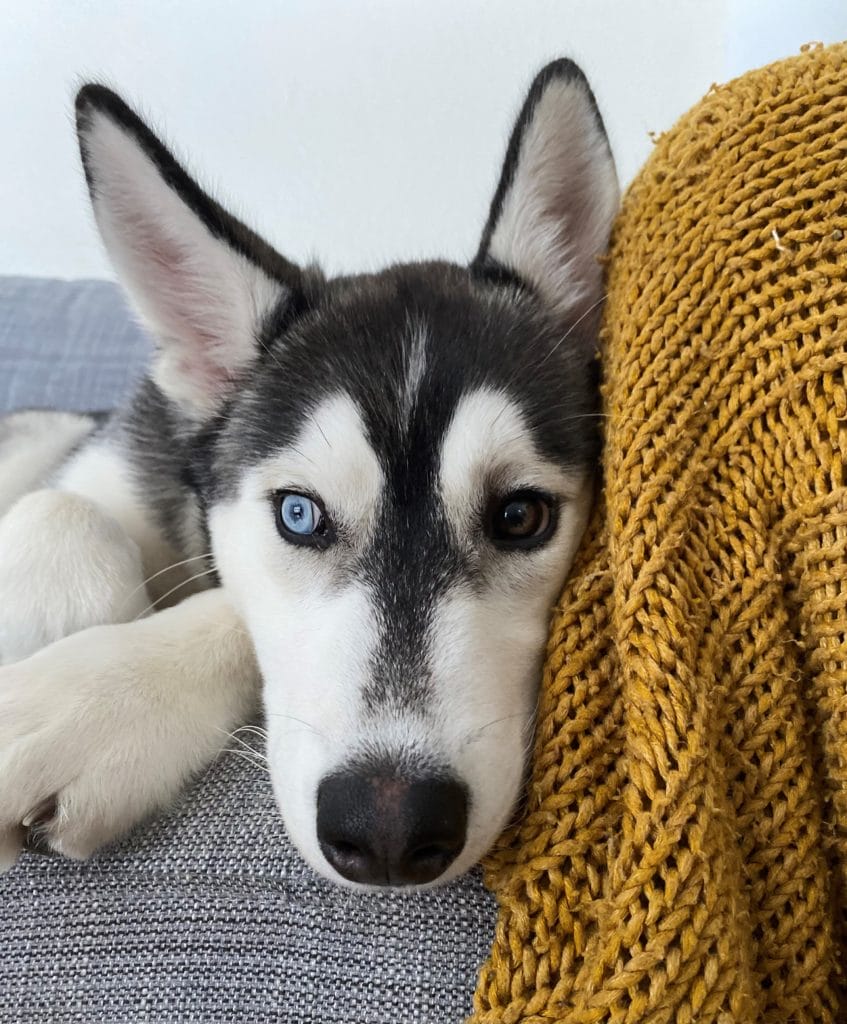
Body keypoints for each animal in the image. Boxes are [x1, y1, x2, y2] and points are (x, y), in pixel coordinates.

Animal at [0, 59, 614, 888]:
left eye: (521, 516)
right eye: (299, 514)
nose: (389, 829)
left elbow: (225, 605)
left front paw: (85, 701)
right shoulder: (111, 462)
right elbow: (60, 510)